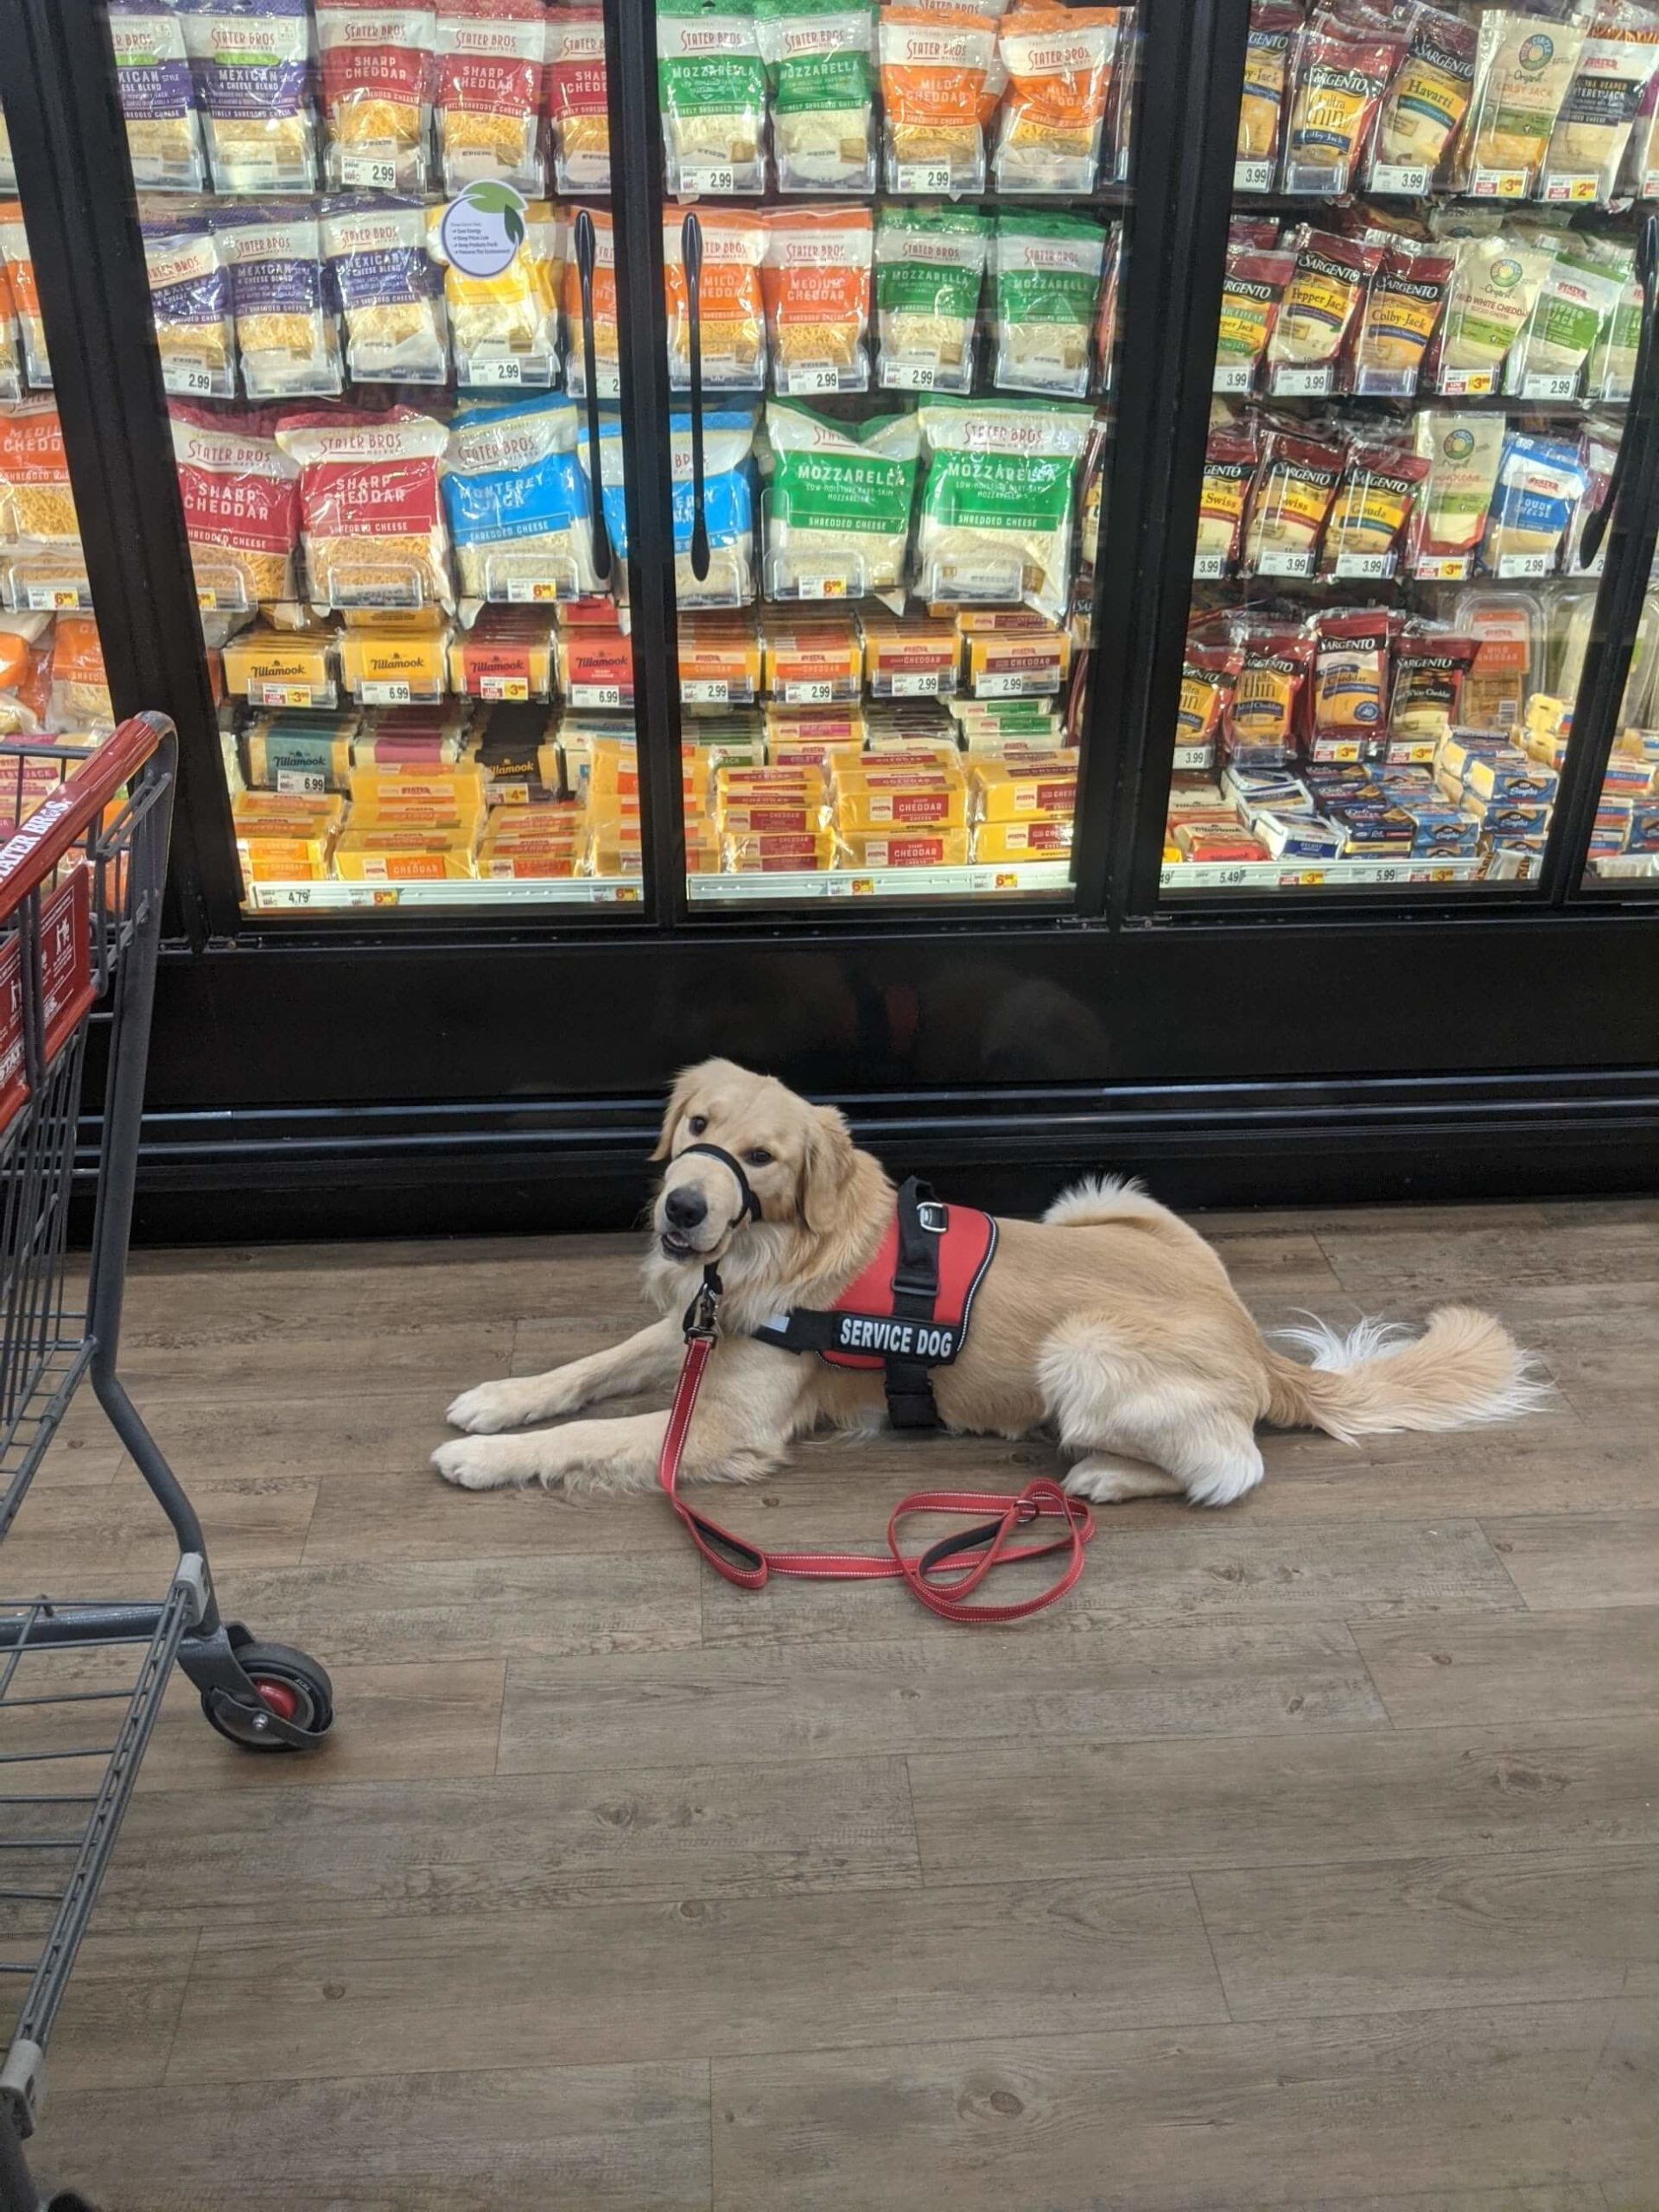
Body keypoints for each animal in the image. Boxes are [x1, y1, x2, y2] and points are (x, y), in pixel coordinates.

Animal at [435, 1052, 1557, 1503]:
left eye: (763, 1159)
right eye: (699, 1125)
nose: (682, 1209)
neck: (765, 1257)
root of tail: (1259, 1347)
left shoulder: (724, 1429)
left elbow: (587, 1436)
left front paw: (484, 1459)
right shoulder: (694, 1326)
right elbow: (584, 1370)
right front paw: (497, 1397)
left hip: (1083, 1345)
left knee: (1233, 1468)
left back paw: (1107, 1476)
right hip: (1101, 1196)